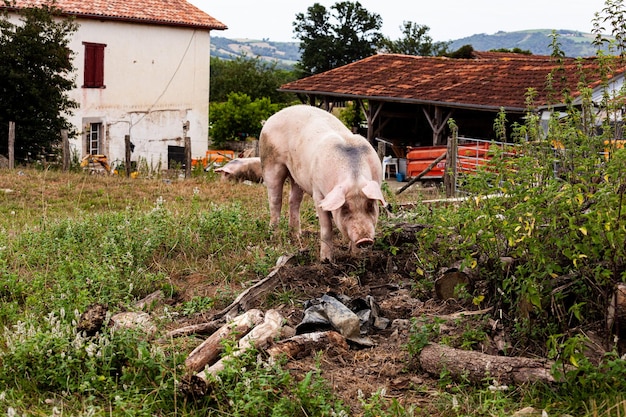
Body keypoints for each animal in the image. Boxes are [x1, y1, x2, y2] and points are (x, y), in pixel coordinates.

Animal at [258, 105, 386, 260]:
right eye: (345, 208)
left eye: (370, 205)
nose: (364, 240)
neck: (353, 176)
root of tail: (269, 120)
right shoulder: (318, 193)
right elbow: (326, 226)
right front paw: (326, 260)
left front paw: (356, 257)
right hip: (270, 163)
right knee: (275, 200)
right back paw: (274, 236)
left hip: (297, 175)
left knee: (294, 200)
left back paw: (297, 235)